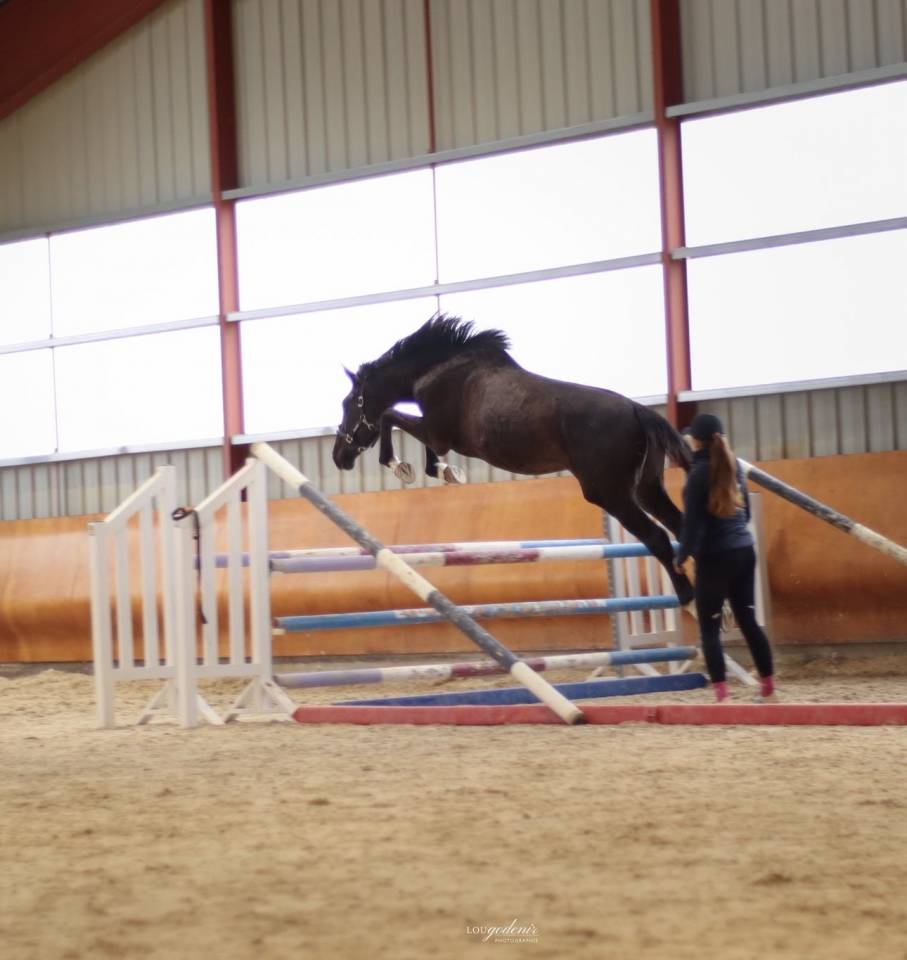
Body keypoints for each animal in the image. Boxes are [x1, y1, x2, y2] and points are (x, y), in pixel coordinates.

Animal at [332, 314, 694, 605]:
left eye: (349, 403)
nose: (339, 457)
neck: (440, 370)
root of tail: (638, 411)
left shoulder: (435, 432)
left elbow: (389, 417)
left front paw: (403, 466)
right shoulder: (435, 434)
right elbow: (402, 428)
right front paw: (446, 471)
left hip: (611, 494)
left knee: (658, 537)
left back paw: (686, 597)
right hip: (647, 489)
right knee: (680, 527)